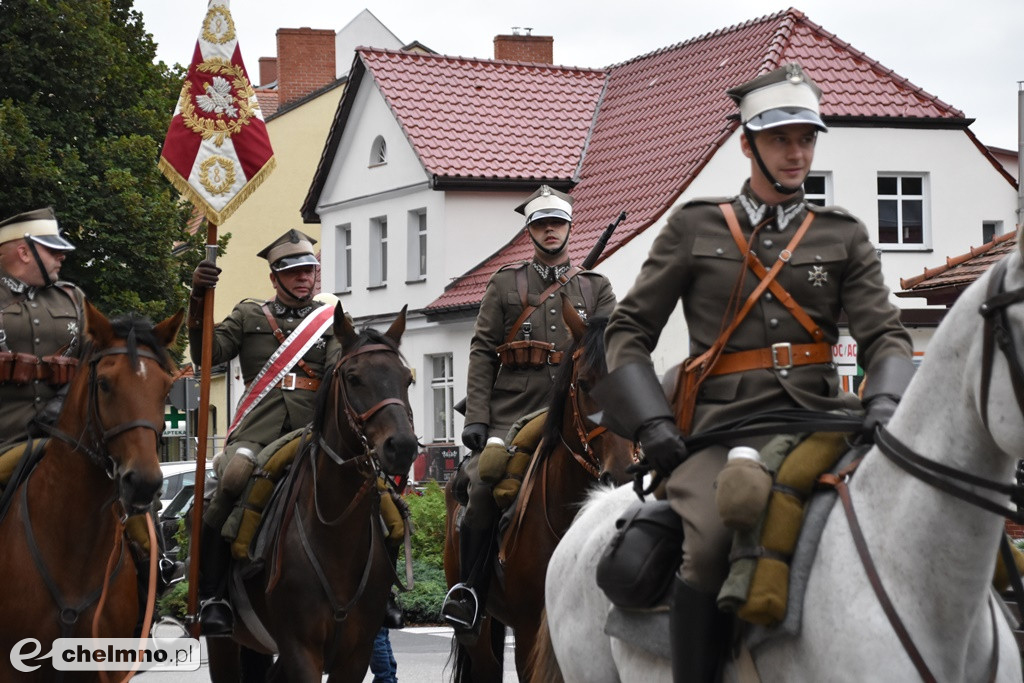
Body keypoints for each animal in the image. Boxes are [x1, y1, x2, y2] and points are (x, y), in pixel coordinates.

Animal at [207, 305, 419, 683]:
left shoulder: (355, 655)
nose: (403, 446)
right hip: (225, 646)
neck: (336, 535)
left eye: (406, 379)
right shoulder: (301, 650)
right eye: (353, 378)